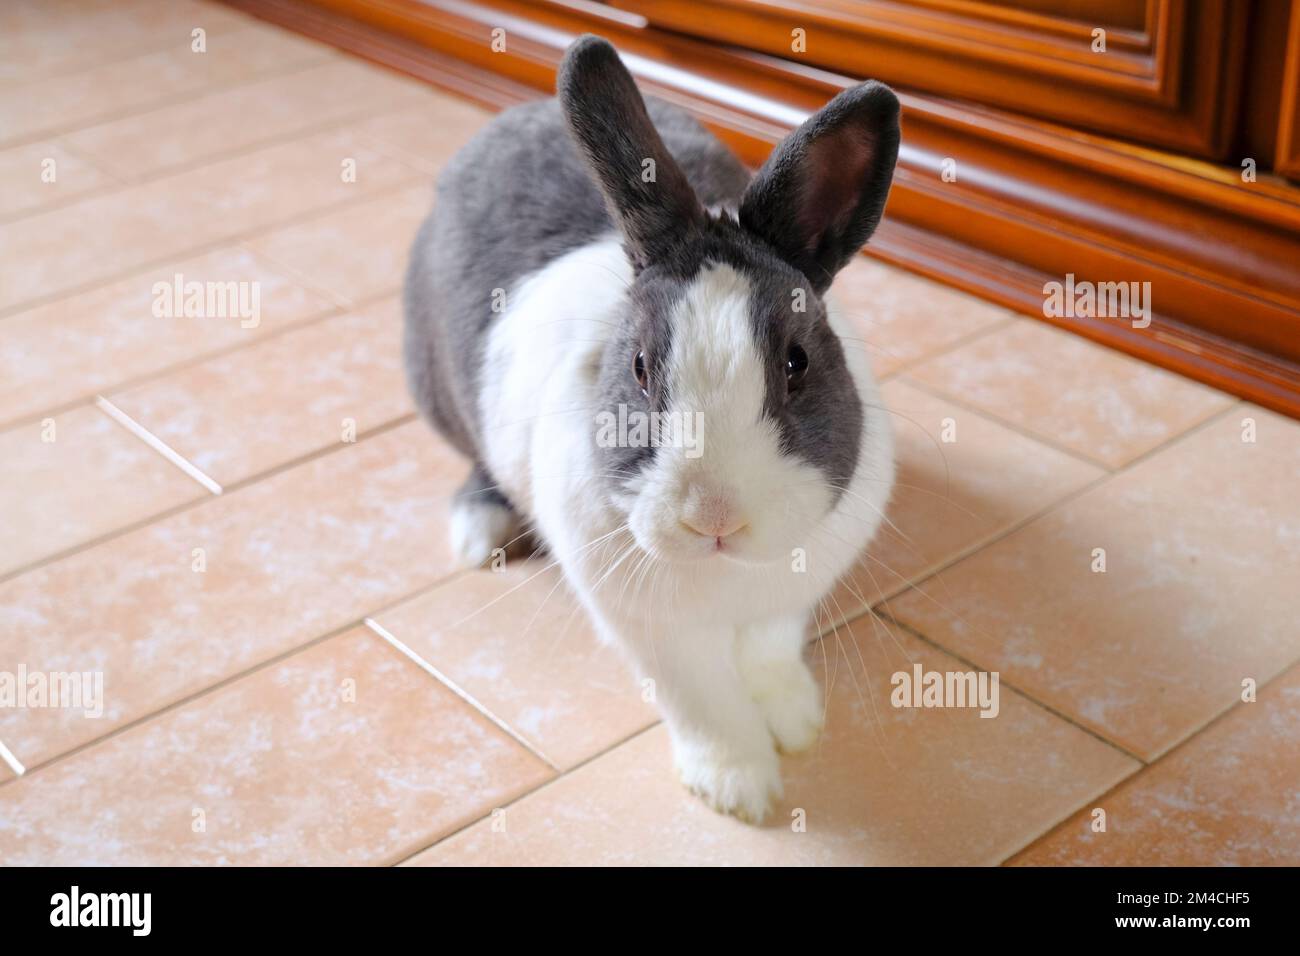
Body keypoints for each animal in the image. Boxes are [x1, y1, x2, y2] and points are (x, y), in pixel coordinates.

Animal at [404, 34, 900, 823]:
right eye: (638, 366)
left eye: (797, 362)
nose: (714, 516)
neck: (726, 574)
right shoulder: (658, 637)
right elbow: (705, 703)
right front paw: (739, 789)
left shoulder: (784, 600)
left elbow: (768, 656)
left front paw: (796, 724)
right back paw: (479, 533)